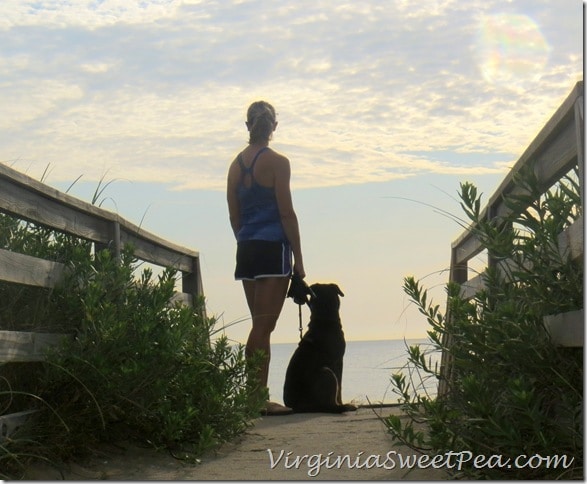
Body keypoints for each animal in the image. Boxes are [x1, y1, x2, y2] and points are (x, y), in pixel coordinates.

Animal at [284, 284, 358, 412]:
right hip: (326, 373)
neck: (324, 318)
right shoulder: (338, 361)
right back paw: (345, 406)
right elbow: (340, 386)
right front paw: (341, 402)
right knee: (330, 405)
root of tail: (297, 406)